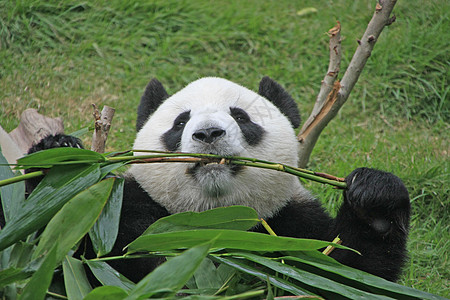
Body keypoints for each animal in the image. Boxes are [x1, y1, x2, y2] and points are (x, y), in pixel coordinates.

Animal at [2, 76, 412, 282]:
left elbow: (349, 272)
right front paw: (59, 163)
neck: (213, 219)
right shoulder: (123, 210)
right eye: (180, 122)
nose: (209, 133)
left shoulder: (291, 223)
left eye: (241, 117)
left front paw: (374, 198)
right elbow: (55, 251)